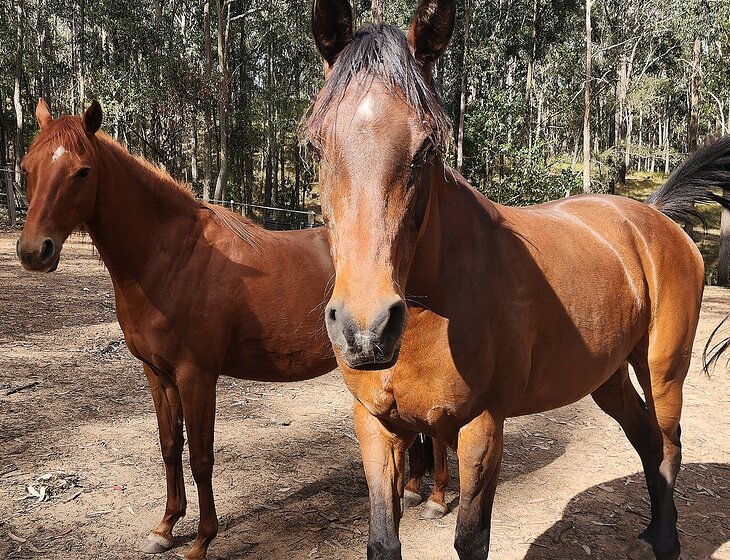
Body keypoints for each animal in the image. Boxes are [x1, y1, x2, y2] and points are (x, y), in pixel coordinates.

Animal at [16, 100, 449, 559]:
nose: (33, 251)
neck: (172, 257)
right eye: (27, 166)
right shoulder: (157, 373)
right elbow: (170, 448)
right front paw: (166, 527)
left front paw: (202, 540)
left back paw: (437, 500)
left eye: (82, 171)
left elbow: (201, 457)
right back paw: (412, 489)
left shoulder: (197, 375)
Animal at [304, 1, 730, 558]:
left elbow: (471, 538)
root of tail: (654, 216)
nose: (365, 330)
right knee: (645, 439)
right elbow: (382, 540)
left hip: (663, 369)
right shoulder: (375, 426)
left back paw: (665, 538)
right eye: (317, 147)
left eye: (427, 148)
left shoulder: (482, 428)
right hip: (608, 376)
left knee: (667, 445)